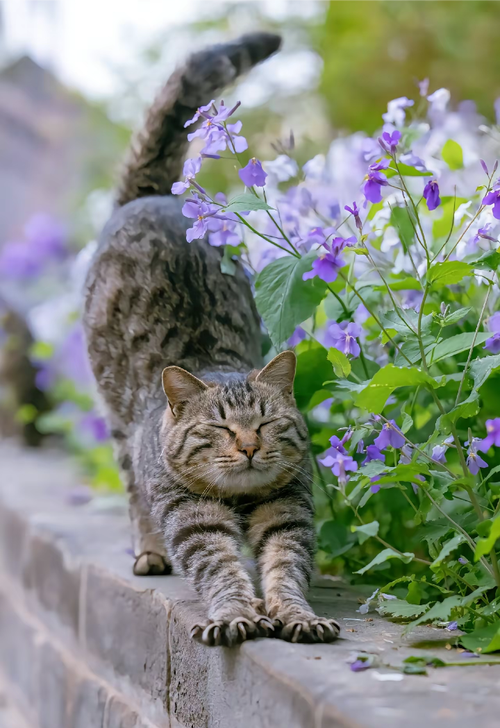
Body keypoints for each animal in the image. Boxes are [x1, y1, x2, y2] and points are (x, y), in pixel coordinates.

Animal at [83, 32, 340, 648]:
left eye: (265, 425)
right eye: (220, 428)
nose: (246, 447)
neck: (241, 500)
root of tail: (153, 195)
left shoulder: (288, 511)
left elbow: (285, 567)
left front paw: (294, 614)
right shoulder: (193, 518)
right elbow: (219, 567)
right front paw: (237, 613)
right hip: (119, 425)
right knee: (135, 497)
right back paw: (150, 552)